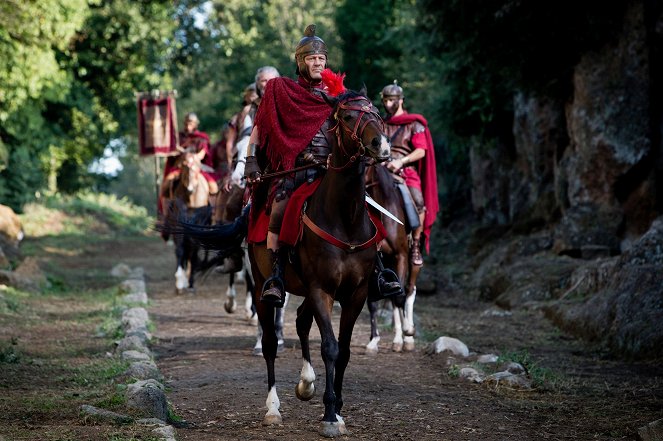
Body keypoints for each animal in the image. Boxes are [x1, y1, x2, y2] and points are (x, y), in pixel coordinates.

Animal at [364, 163, 420, 352]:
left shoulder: (400, 255)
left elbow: (399, 296)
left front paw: (407, 332)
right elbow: (373, 301)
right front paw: (374, 340)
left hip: (410, 258)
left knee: (409, 289)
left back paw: (408, 336)